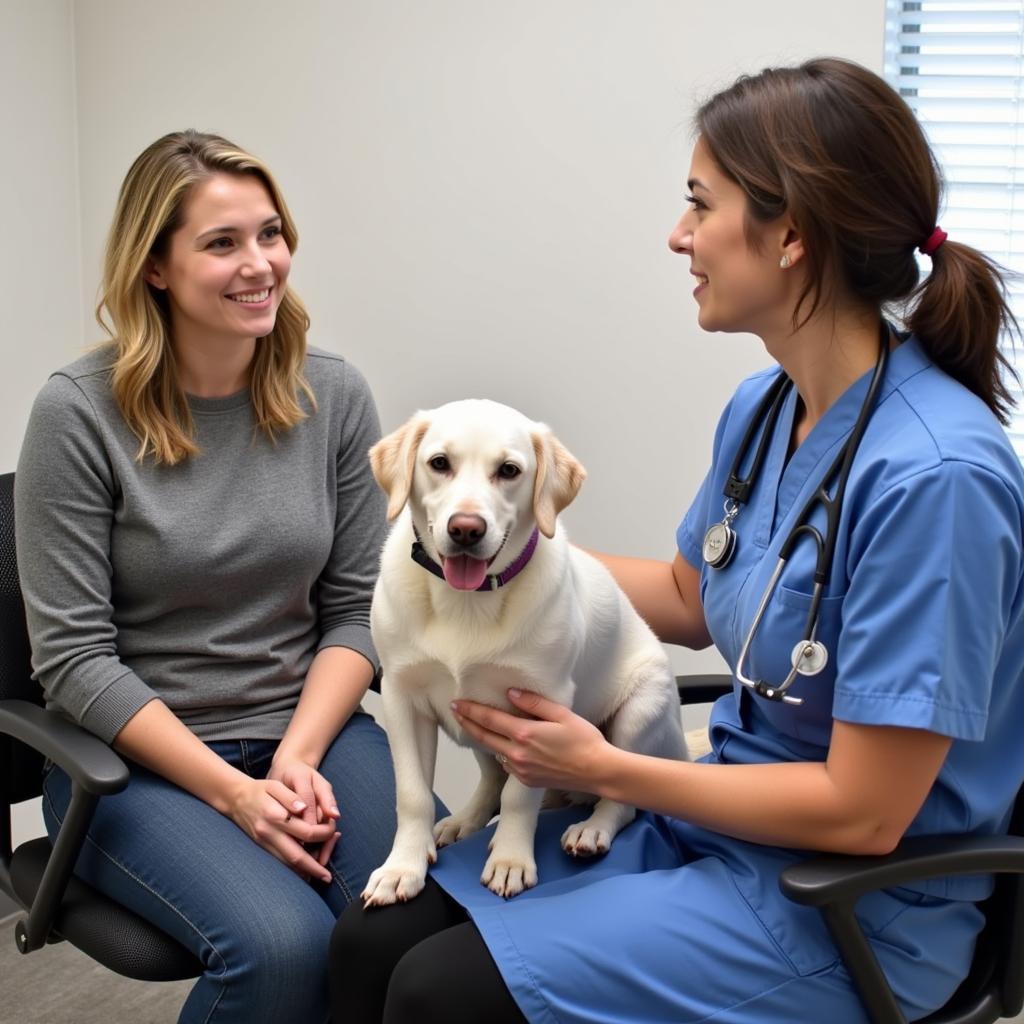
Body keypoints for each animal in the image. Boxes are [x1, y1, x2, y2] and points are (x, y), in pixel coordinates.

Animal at [360, 399, 688, 905]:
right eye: (439, 463)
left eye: (509, 470)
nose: (466, 529)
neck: (466, 604)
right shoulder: (402, 698)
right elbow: (412, 794)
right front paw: (402, 868)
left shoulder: (541, 708)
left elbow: (520, 796)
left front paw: (511, 860)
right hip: (475, 723)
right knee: (493, 779)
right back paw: (464, 821)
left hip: (641, 710)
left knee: (623, 795)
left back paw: (592, 829)